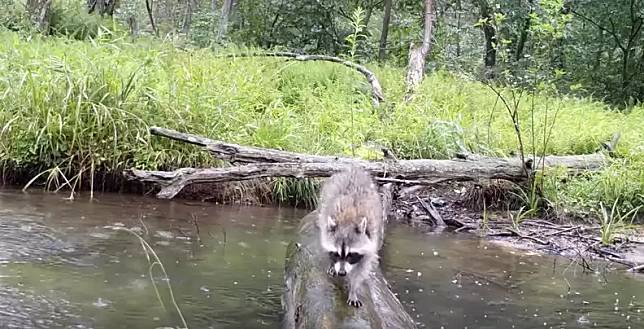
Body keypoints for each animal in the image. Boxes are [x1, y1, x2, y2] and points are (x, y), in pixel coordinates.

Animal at [316, 167, 382, 308]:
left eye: (351, 254)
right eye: (336, 253)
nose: (342, 273)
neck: (348, 219)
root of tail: (353, 168)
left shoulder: (371, 241)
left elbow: (361, 270)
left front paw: (353, 290)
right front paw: (333, 264)